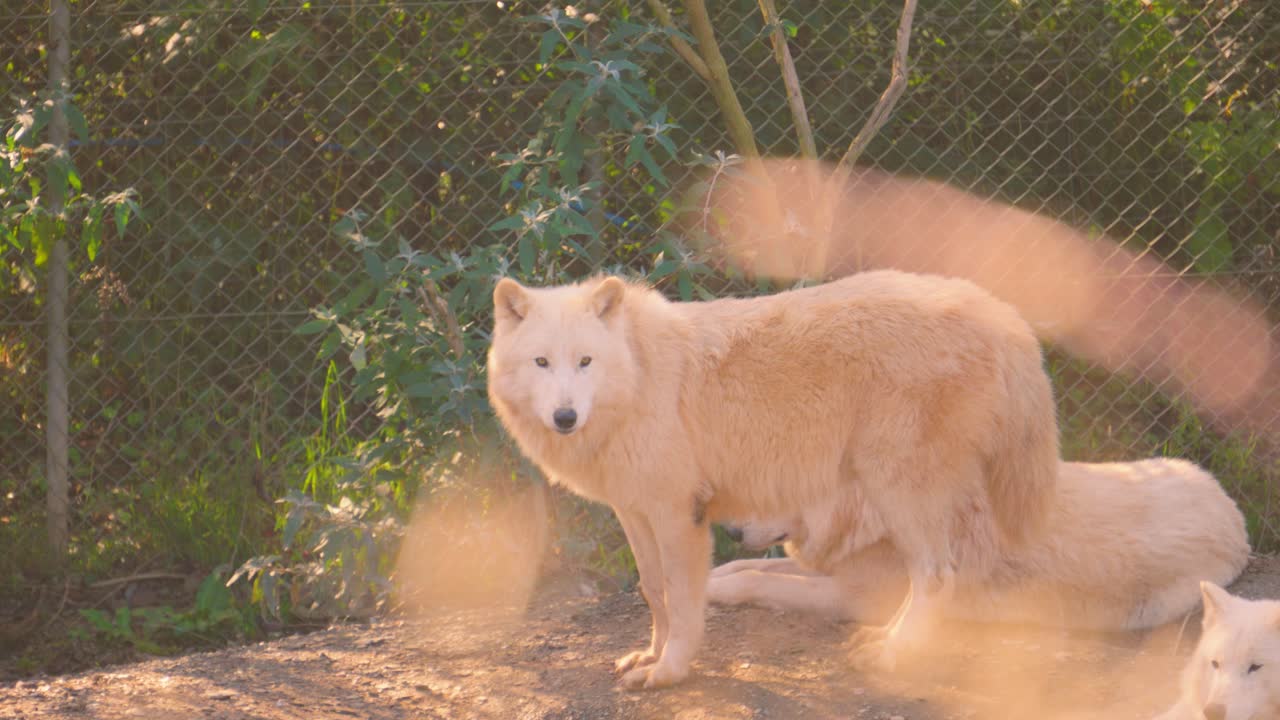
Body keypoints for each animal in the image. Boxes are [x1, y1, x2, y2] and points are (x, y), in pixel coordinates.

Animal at [486, 269, 1060, 688]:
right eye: (542, 363)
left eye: (585, 362)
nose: (565, 417)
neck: (639, 377)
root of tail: (1001, 313)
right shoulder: (635, 512)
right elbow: (654, 591)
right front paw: (648, 657)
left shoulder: (680, 515)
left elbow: (681, 599)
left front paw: (670, 671)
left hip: (899, 491)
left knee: (939, 576)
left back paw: (893, 653)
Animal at [709, 457, 1250, 634]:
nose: (730, 531)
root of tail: (1233, 513)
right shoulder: (833, 571)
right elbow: (748, 569)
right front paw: (712, 577)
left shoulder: (853, 597)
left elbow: (757, 578)